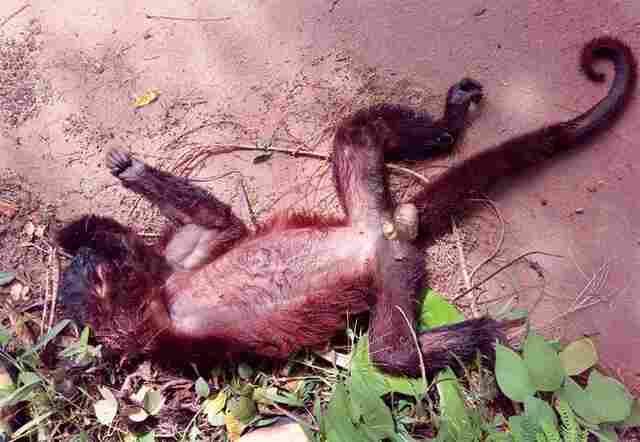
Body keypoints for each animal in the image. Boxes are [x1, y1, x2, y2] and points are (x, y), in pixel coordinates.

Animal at [56, 36, 635, 377]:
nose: (91, 264)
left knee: (356, 130)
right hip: (394, 268)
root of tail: (389, 226)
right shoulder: (140, 326)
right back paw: (484, 335)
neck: (161, 291)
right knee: (389, 354)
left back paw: (448, 124)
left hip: (367, 204)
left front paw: (113, 197)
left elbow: (217, 222)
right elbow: (124, 324)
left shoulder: (177, 263)